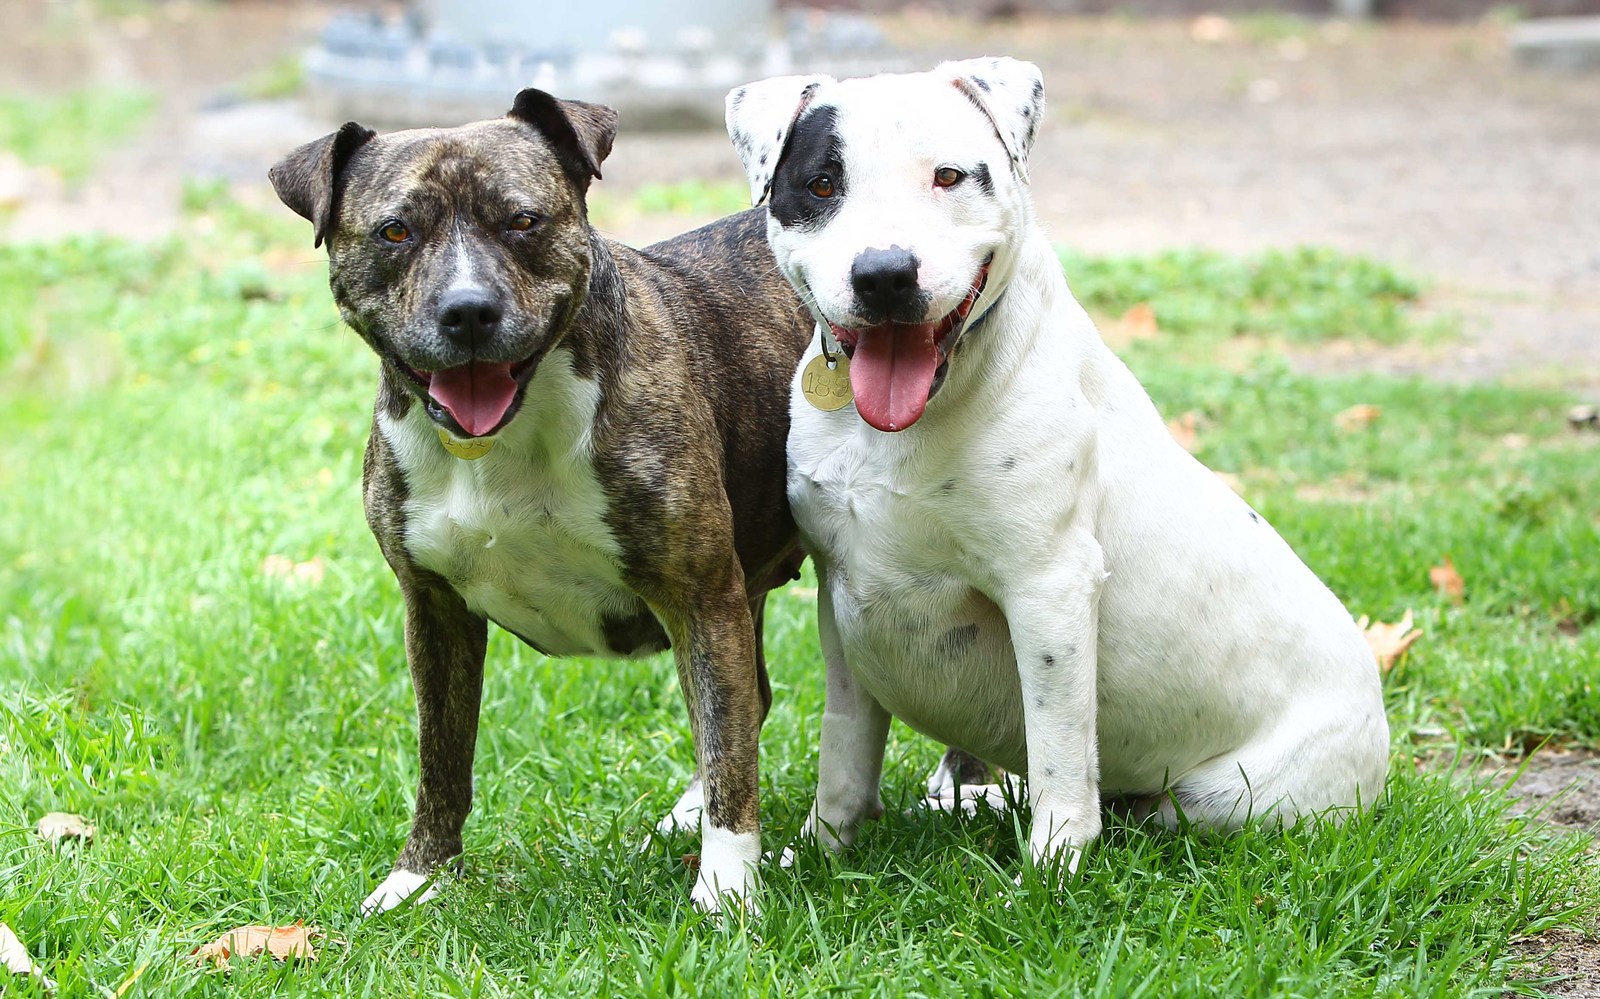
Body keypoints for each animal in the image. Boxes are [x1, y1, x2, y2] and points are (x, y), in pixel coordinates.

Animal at [273, 89, 812, 909]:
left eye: (522, 221)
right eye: (396, 231)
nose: (467, 310)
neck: (503, 439)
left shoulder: (699, 595)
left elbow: (726, 744)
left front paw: (726, 892)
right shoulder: (435, 611)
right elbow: (442, 759)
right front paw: (418, 879)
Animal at [726, 58, 1388, 877]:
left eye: (949, 176)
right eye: (822, 184)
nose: (884, 275)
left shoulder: (1049, 590)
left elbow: (1060, 751)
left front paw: (1052, 868)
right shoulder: (846, 602)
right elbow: (844, 752)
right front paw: (823, 851)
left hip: (1229, 796)